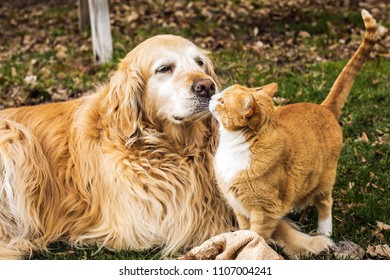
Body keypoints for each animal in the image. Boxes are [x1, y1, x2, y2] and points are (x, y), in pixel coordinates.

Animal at [210, 9, 378, 258]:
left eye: (222, 101)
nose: (211, 95)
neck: (233, 146)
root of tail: (325, 107)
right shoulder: (238, 206)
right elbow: (243, 230)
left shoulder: (264, 211)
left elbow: (256, 234)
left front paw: (247, 249)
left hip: (325, 179)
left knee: (325, 203)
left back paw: (325, 232)